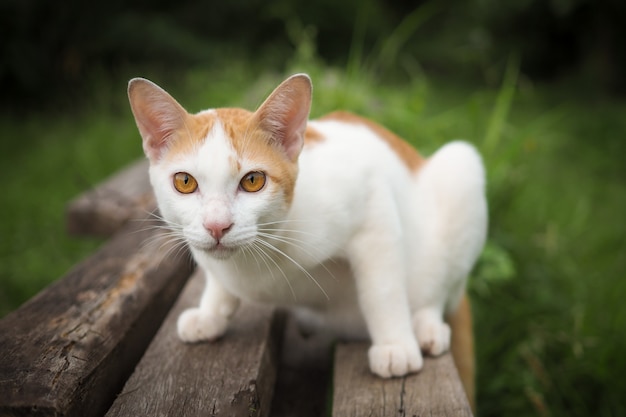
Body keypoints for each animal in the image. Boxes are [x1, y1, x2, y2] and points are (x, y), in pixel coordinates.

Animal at [128, 74, 488, 386]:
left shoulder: (372, 203)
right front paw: (210, 312)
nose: (217, 225)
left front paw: (395, 344)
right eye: (185, 182)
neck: (255, 258)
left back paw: (426, 325)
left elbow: (382, 290)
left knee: (438, 288)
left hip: (462, 168)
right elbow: (217, 279)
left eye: (253, 181)